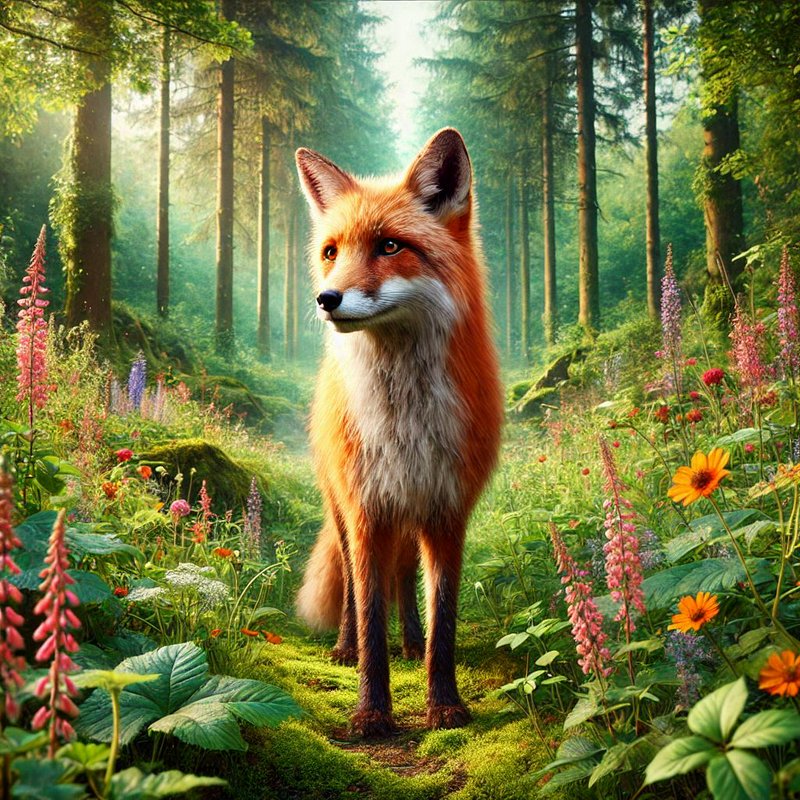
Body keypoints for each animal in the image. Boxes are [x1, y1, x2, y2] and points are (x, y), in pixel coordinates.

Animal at [294, 128, 503, 737]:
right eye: (332, 252)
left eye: (390, 247)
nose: (326, 299)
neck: (403, 418)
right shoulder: (367, 509)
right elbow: (369, 619)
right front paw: (371, 713)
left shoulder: (448, 508)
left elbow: (444, 622)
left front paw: (445, 705)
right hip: (345, 508)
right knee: (353, 592)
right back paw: (342, 647)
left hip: (410, 517)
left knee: (407, 580)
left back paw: (411, 640)